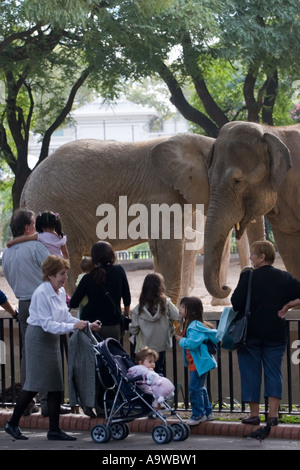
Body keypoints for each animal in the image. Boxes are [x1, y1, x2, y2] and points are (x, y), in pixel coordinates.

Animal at [19, 133, 248, 304]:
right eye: (236, 182)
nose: (227, 287)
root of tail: (27, 184)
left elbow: (160, 250)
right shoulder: (160, 196)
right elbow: (169, 249)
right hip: (55, 212)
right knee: (67, 263)